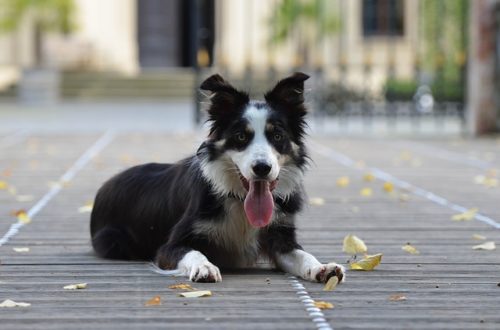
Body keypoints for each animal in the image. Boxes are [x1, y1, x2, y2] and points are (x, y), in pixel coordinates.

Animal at [90, 72, 346, 284]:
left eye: (277, 135)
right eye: (241, 136)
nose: (262, 168)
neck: (240, 201)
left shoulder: (281, 236)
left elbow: (303, 254)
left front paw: (322, 267)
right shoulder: (170, 246)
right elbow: (193, 252)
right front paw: (204, 267)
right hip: (114, 240)